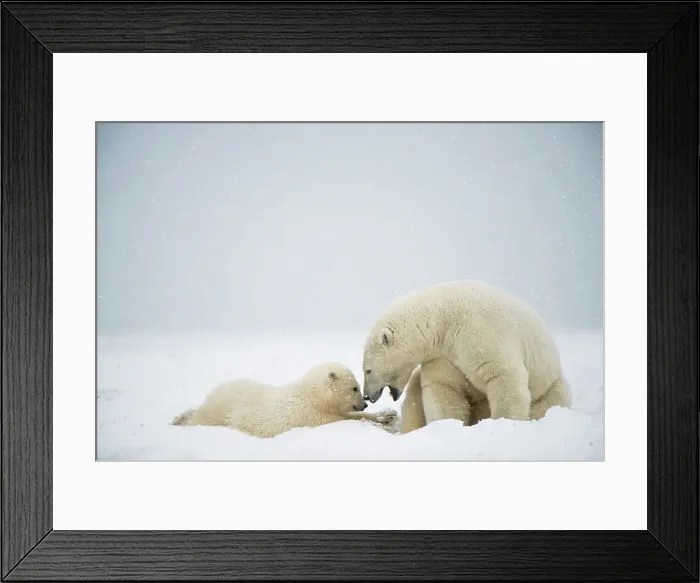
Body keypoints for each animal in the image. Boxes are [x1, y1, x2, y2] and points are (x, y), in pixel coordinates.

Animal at [171, 361, 397, 439]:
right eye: (354, 388)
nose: (364, 403)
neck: (312, 396)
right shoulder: (310, 416)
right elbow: (348, 419)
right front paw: (384, 419)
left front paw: (388, 415)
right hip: (218, 412)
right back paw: (180, 419)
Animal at [362, 280, 572, 427]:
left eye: (367, 370)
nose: (366, 396)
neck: (443, 319)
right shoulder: (443, 355)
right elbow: (445, 387)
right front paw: (448, 425)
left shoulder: (483, 331)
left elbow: (503, 376)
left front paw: (503, 422)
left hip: (549, 383)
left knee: (550, 401)